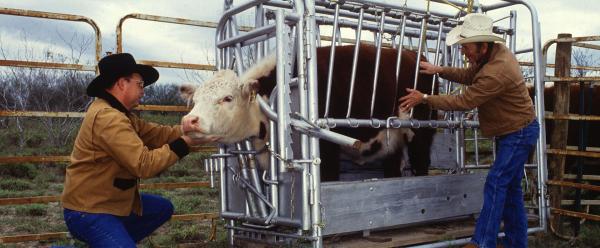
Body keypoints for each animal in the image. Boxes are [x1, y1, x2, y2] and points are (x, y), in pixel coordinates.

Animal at [182, 44, 436, 180]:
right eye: (195, 100)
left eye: (228, 98)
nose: (189, 121)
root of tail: (416, 55)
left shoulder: (326, 146)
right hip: (392, 137)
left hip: (420, 131)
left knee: (421, 162)